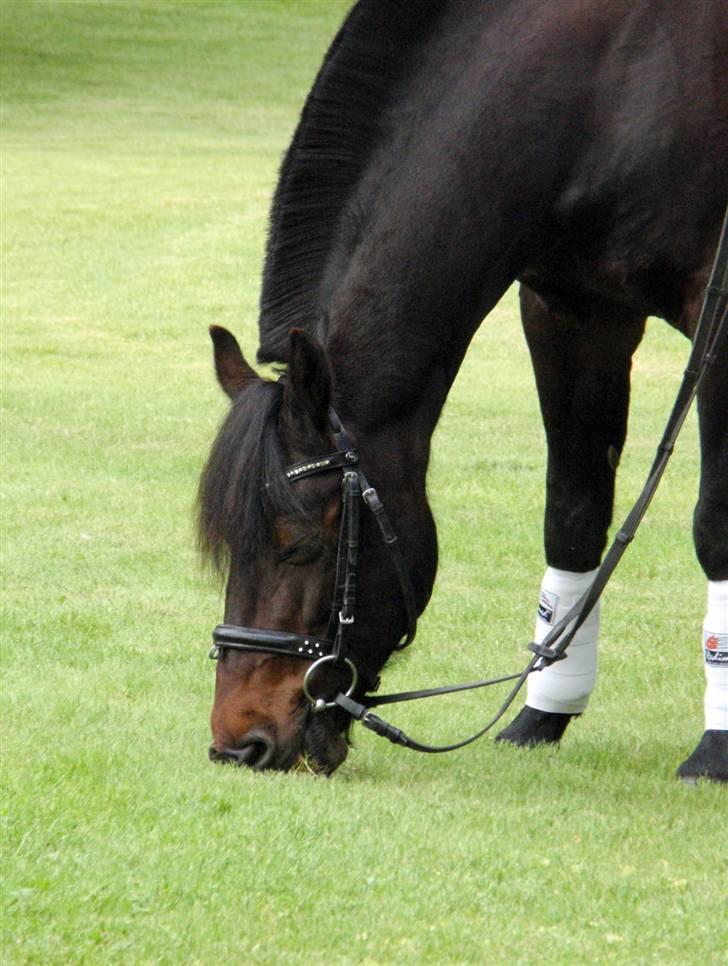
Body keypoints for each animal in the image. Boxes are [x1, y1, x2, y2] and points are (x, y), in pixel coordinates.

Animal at [198, 0, 728, 784]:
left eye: (299, 546)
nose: (240, 743)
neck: (603, 85)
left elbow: (715, 528)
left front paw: (715, 747)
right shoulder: (572, 309)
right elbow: (572, 516)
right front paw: (543, 715)